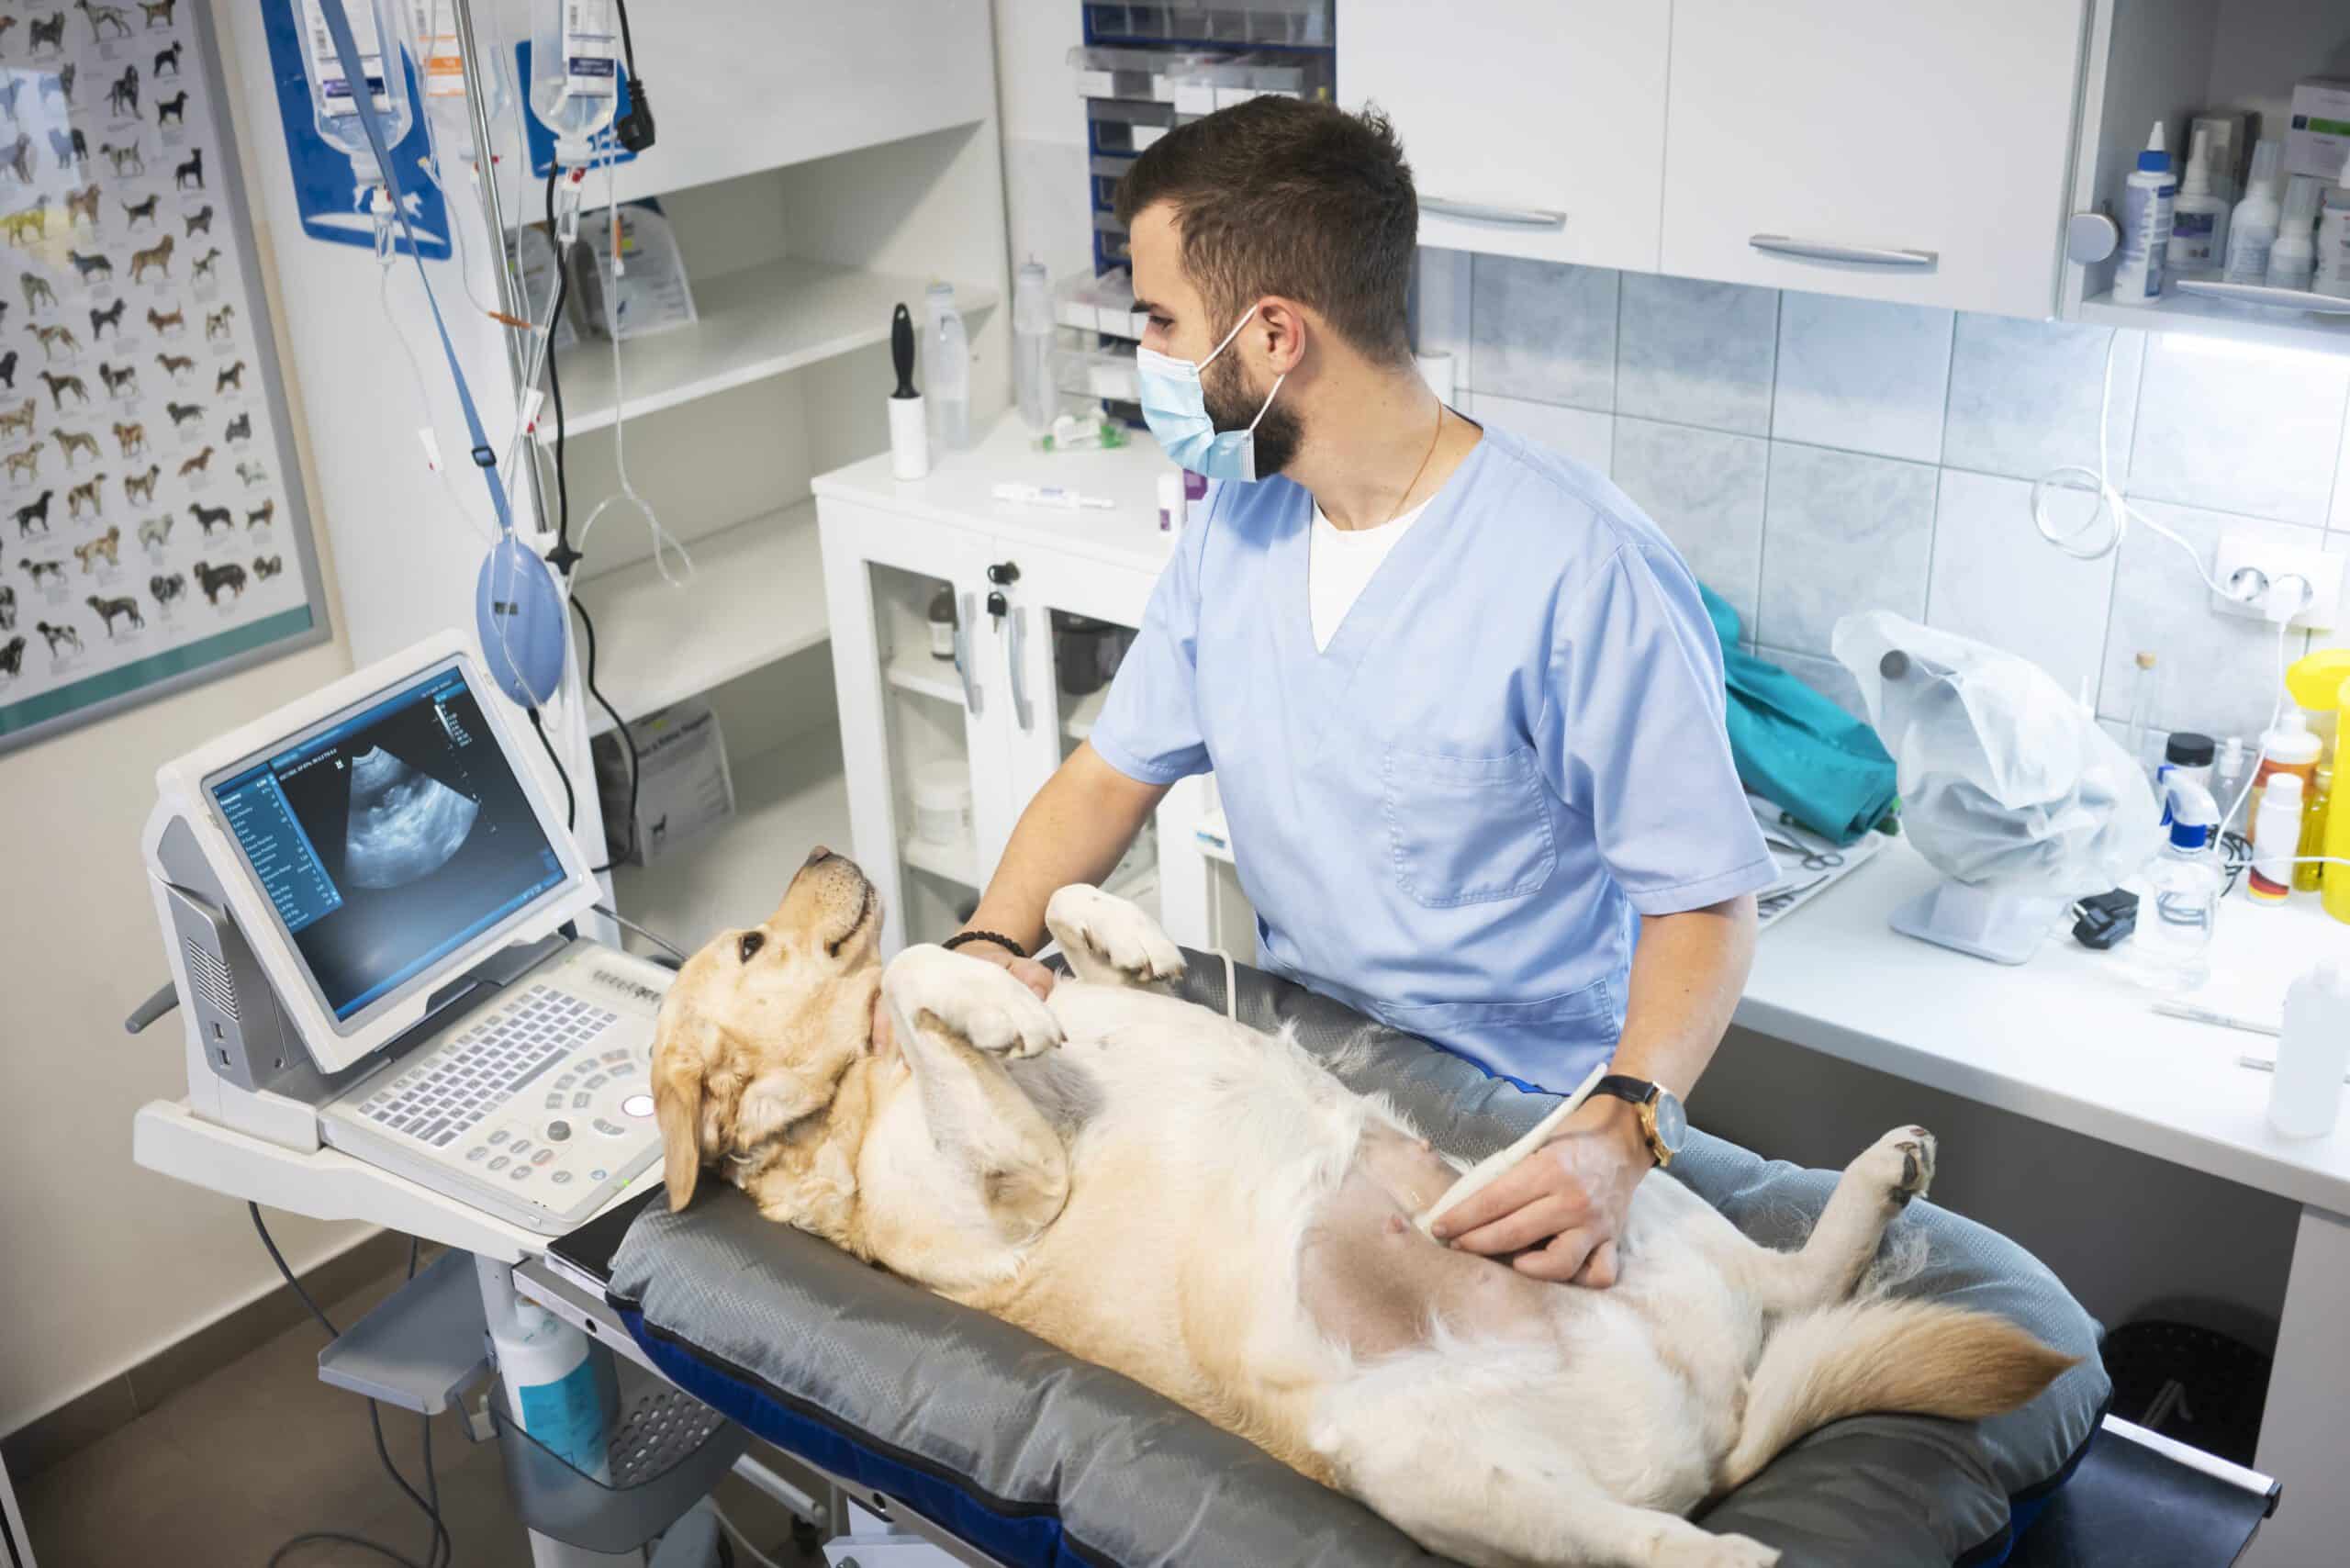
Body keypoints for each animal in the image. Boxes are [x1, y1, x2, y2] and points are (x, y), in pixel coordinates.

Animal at [653, 850, 2067, 1561]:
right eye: (750, 944)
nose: (823, 844)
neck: (853, 1095)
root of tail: (1719, 1417)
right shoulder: (1010, 1183)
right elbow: (916, 974)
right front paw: (984, 1000)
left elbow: (1050, 925)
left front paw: (1107, 938)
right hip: (1419, 1458)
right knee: (1663, 1548)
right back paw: (1738, 1550)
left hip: (1588, 1188)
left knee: (1791, 1280)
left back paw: (1880, 1177)